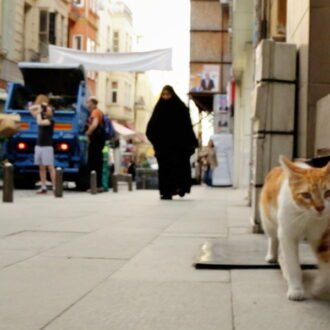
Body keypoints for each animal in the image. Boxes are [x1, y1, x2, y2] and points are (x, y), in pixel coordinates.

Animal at [260, 156, 330, 300]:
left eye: (328, 192)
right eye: (306, 195)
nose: (320, 208)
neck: (307, 217)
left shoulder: (321, 235)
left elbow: (326, 263)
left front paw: (319, 286)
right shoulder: (287, 234)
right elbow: (292, 264)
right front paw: (296, 289)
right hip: (268, 221)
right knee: (273, 238)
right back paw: (272, 256)